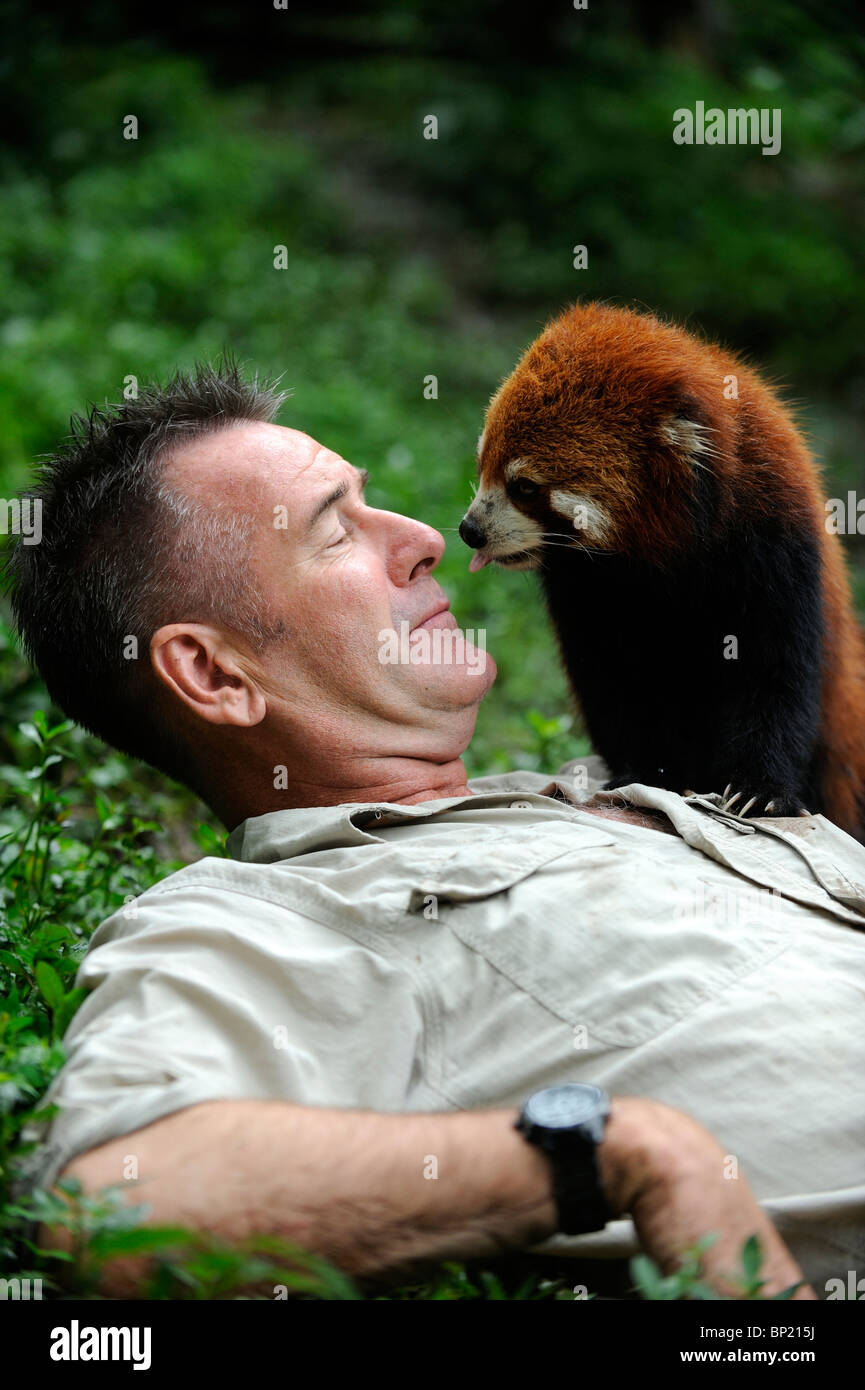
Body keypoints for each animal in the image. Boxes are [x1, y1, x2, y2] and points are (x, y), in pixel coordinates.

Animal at [458, 300, 865, 839]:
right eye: (482, 463)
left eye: (524, 487)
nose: (469, 530)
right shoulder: (586, 586)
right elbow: (609, 680)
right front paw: (648, 771)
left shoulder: (776, 543)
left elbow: (777, 675)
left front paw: (761, 790)